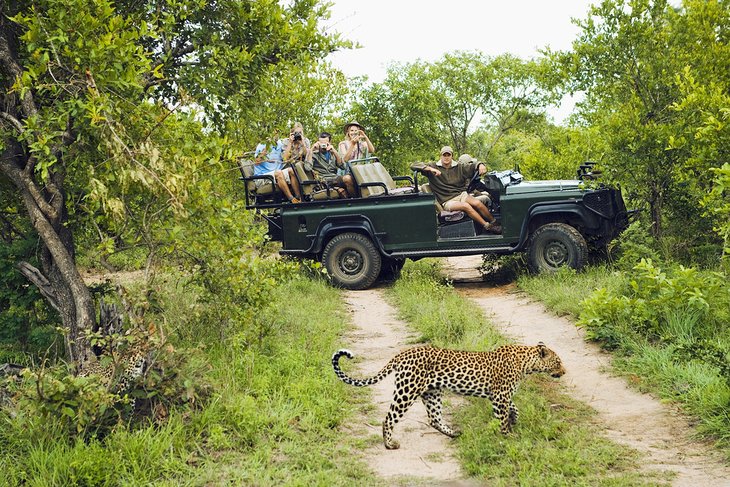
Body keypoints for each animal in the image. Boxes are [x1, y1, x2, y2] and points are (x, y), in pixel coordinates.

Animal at [330, 344, 564, 450]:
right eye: (558, 362)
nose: (564, 371)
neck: (527, 363)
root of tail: (401, 354)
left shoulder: (499, 395)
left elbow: (514, 408)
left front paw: (514, 420)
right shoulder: (500, 396)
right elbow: (503, 417)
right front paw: (507, 436)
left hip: (432, 392)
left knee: (434, 418)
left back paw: (453, 433)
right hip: (407, 390)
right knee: (389, 418)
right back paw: (390, 444)